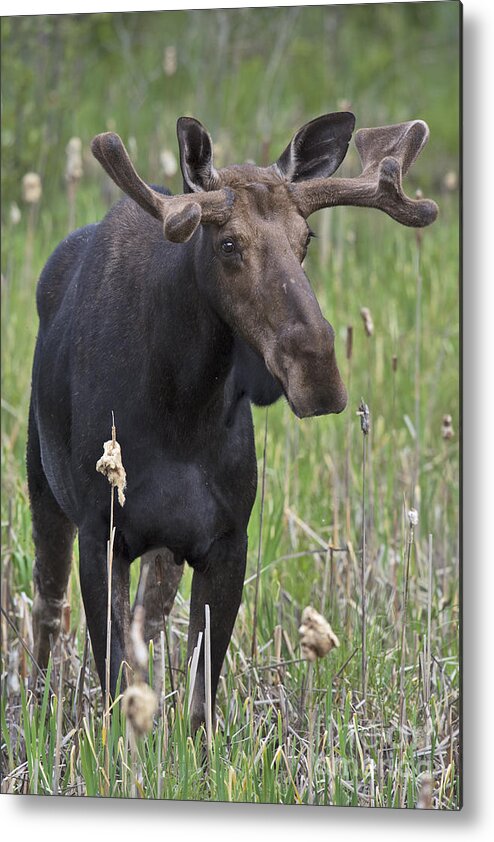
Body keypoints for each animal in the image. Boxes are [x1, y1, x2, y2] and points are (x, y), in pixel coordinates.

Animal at [28, 111, 436, 728]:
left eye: (306, 240)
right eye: (227, 244)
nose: (318, 372)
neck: (179, 410)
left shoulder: (226, 539)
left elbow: (200, 699)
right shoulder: (102, 533)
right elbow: (114, 684)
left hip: (164, 549)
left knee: (147, 623)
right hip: (44, 490)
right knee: (47, 612)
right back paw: (30, 698)